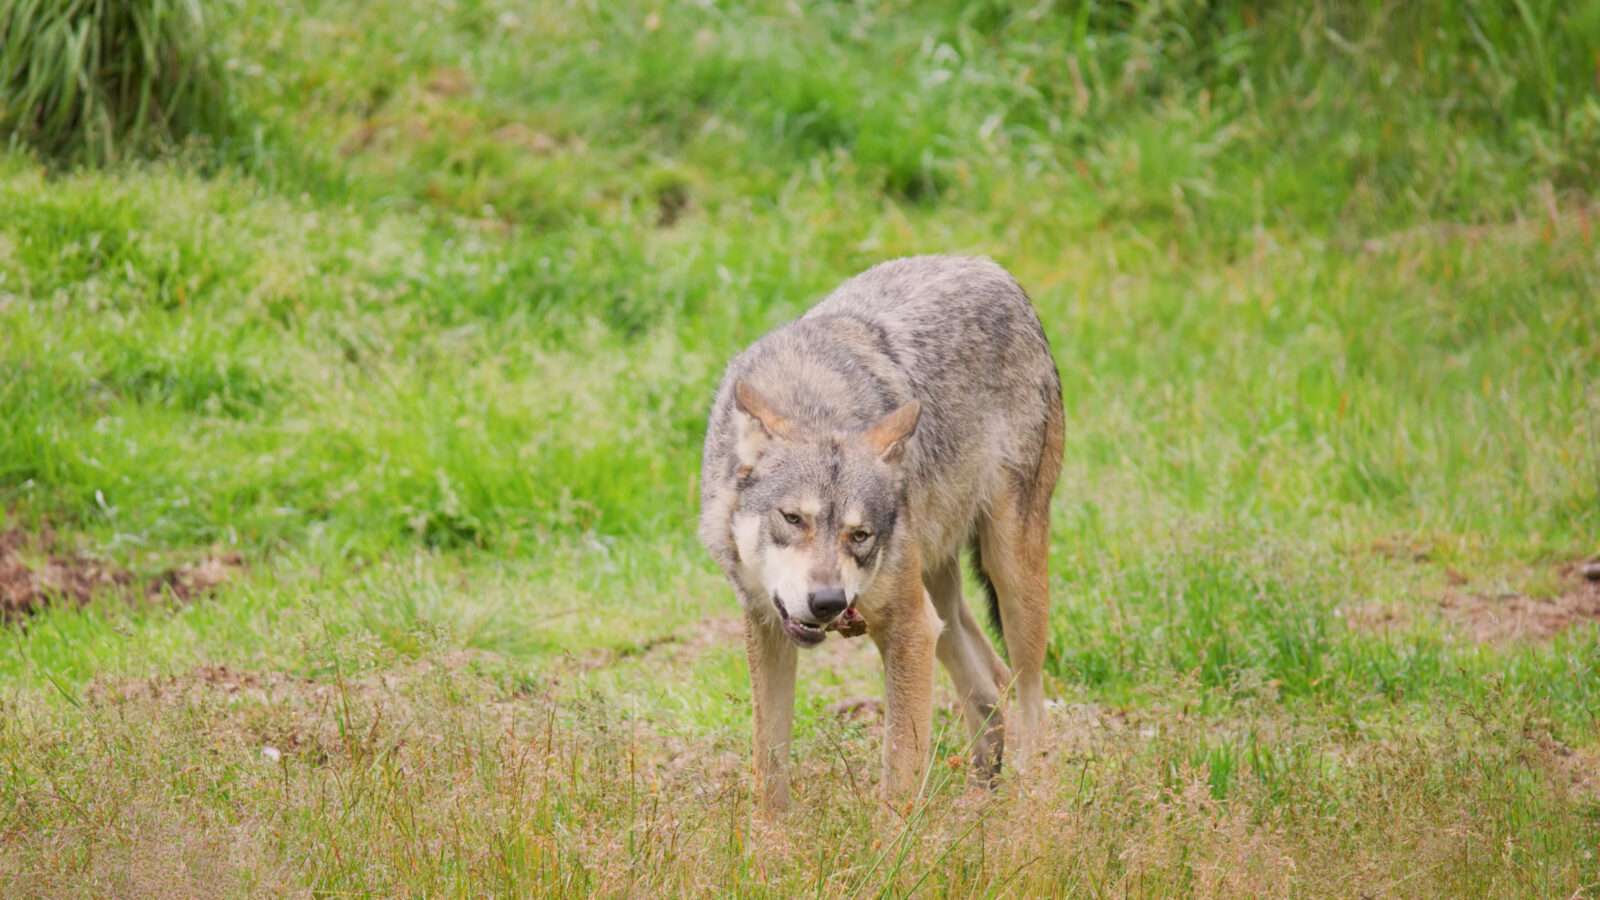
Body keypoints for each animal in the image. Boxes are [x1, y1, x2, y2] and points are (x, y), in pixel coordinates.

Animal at [700, 253, 1062, 807]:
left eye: (861, 534)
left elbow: (899, 777)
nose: (827, 602)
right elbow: (768, 767)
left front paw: (893, 834)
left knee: (1030, 695)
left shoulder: (909, 629)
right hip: (940, 602)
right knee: (990, 685)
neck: (812, 402)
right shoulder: (766, 625)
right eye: (793, 518)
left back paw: (1031, 807)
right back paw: (980, 803)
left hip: (1006, 576)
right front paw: (770, 835)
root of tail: (990, 266)